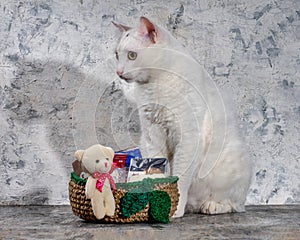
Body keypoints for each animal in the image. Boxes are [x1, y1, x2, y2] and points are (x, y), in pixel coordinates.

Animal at [112, 15, 251, 217]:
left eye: (132, 55)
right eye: (116, 55)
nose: (119, 72)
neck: (156, 84)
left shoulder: (187, 138)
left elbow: (180, 177)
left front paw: (174, 209)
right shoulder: (153, 134)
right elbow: (159, 173)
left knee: (234, 204)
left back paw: (212, 206)